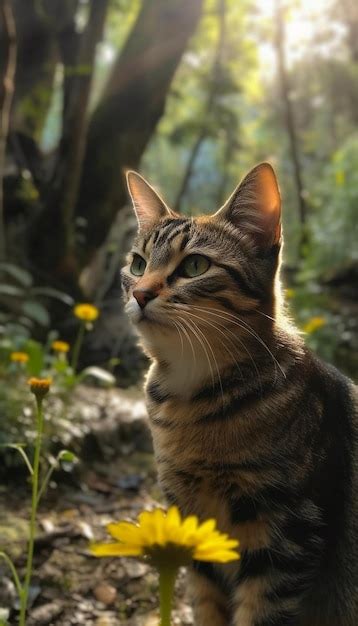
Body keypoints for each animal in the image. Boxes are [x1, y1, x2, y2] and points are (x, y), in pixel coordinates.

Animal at [121, 163, 358, 620]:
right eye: (137, 265)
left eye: (195, 265)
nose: (140, 293)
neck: (190, 400)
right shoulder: (191, 520)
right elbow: (207, 606)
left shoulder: (286, 539)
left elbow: (259, 613)